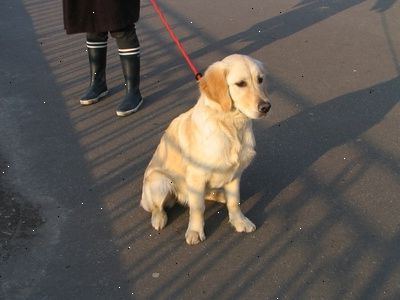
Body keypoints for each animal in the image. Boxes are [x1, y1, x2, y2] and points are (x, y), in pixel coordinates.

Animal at [141, 55, 272, 245]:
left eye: (260, 80)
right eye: (240, 84)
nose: (266, 107)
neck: (231, 126)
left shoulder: (235, 174)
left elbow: (235, 202)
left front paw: (239, 221)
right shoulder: (196, 176)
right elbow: (197, 208)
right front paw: (195, 231)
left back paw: (221, 196)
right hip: (160, 181)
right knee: (158, 207)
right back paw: (159, 218)